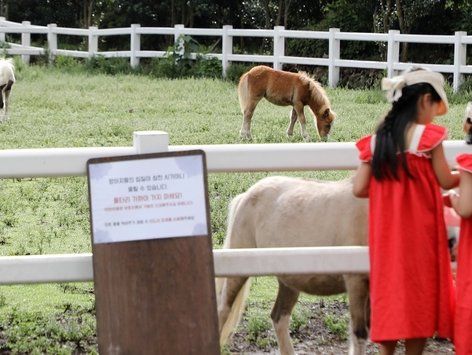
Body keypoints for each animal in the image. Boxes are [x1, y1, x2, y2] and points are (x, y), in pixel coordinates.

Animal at [217, 177, 368, 355]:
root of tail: (245, 195)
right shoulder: (356, 281)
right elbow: (359, 334)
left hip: (289, 281)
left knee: (278, 317)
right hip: (239, 270)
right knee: (224, 309)